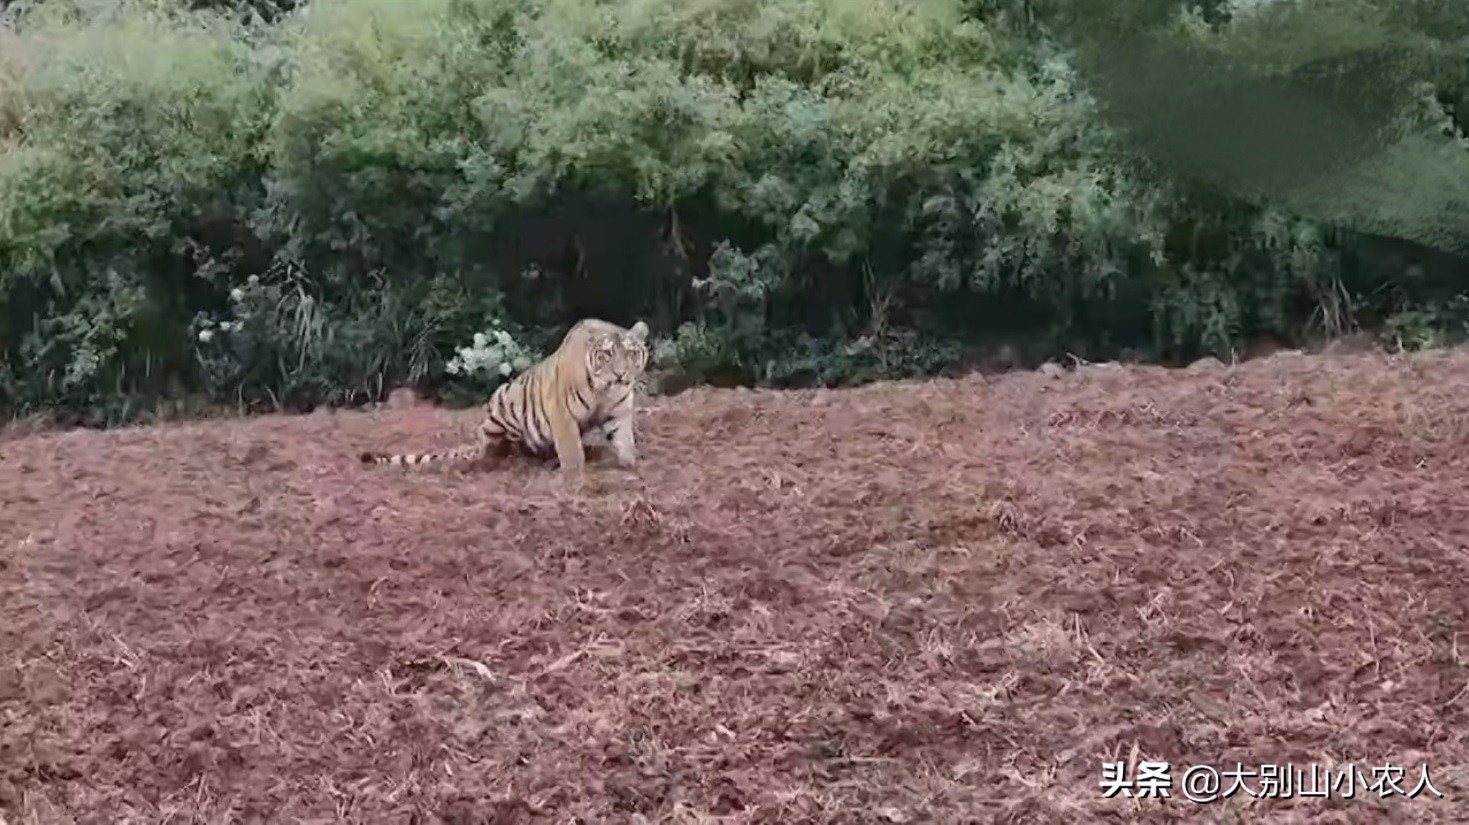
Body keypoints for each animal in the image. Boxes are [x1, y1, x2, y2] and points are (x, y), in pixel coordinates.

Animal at [359, 318, 651, 476]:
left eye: (631, 353)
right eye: (607, 354)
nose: (621, 374)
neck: (606, 389)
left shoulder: (618, 411)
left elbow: (624, 438)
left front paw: (629, 463)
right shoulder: (561, 412)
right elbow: (570, 450)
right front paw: (574, 475)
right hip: (502, 401)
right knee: (492, 451)